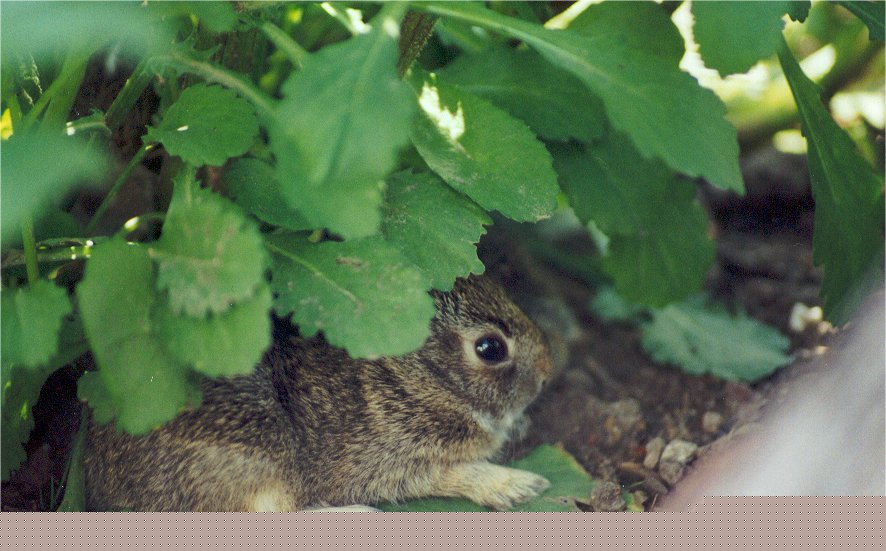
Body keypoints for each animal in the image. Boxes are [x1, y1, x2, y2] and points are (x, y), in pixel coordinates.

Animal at [83, 274, 554, 511]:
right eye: (490, 348)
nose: (548, 370)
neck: (407, 378)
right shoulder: (389, 462)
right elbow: (452, 473)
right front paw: (521, 486)